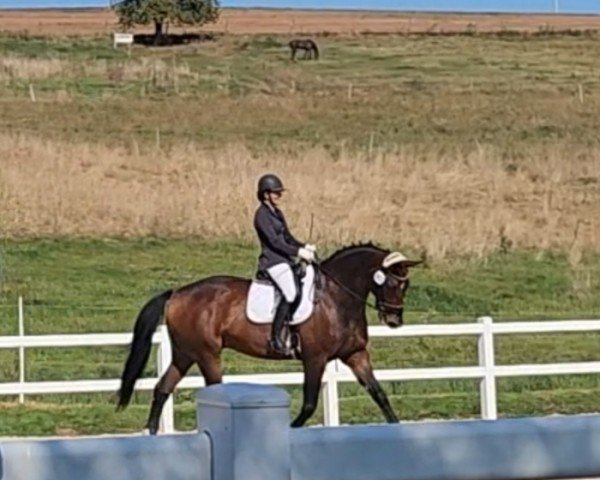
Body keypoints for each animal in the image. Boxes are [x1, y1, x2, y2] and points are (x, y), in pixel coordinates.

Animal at [117, 242, 422, 434]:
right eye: (391, 282)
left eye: (406, 284)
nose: (394, 321)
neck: (336, 298)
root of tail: (177, 293)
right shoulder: (315, 358)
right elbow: (309, 404)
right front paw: (291, 429)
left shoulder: (355, 355)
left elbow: (379, 394)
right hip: (206, 354)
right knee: (208, 388)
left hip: (184, 353)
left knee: (162, 388)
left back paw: (152, 434)